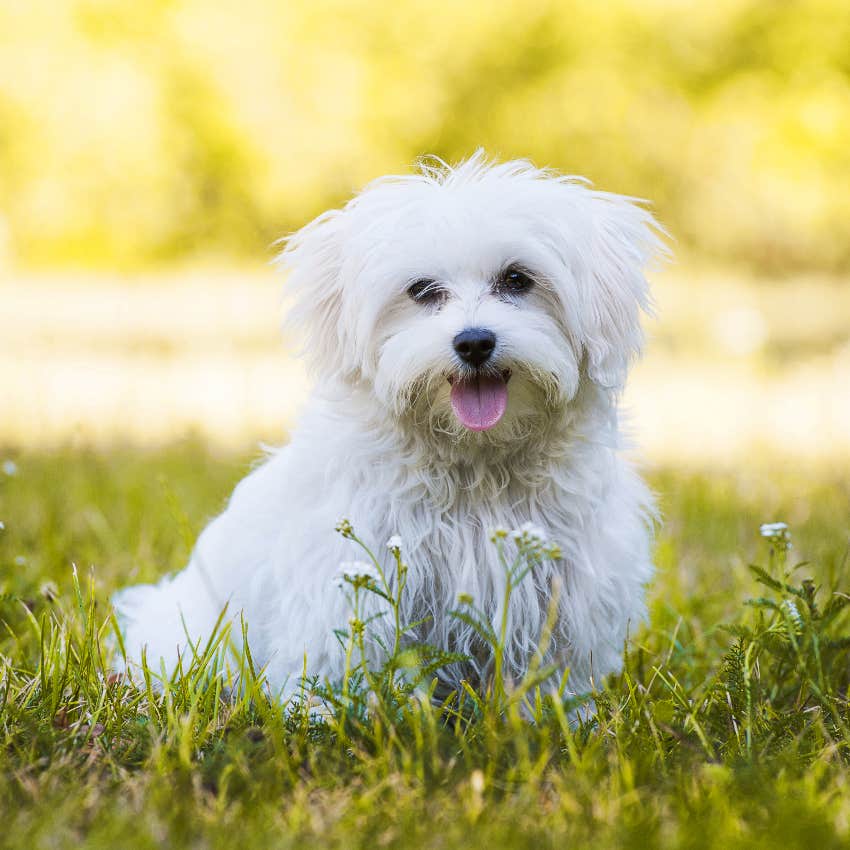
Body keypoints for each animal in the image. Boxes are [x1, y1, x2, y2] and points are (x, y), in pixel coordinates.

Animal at [112, 152, 664, 704]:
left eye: (517, 279)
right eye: (422, 290)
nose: (474, 342)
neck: (475, 463)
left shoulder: (568, 588)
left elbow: (550, 670)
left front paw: (551, 712)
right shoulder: (348, 575)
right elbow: (344, 657)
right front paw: (326, 711)